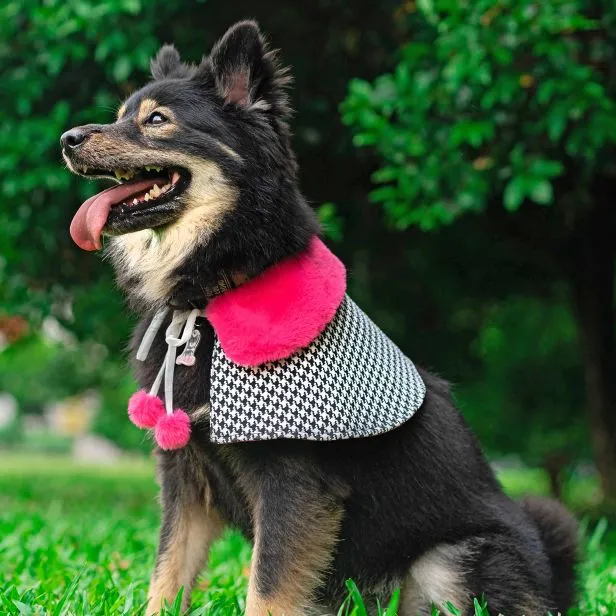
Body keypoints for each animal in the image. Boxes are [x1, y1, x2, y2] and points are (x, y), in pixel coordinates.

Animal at [60, 19, 580, 616]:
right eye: (123, 114)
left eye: (157, 121)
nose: (68, 139)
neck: (212, 294)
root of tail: (551, 582)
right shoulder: (185, 475)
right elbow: (167, 574)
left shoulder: (294, 481)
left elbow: (267, 586)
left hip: (450, 561)